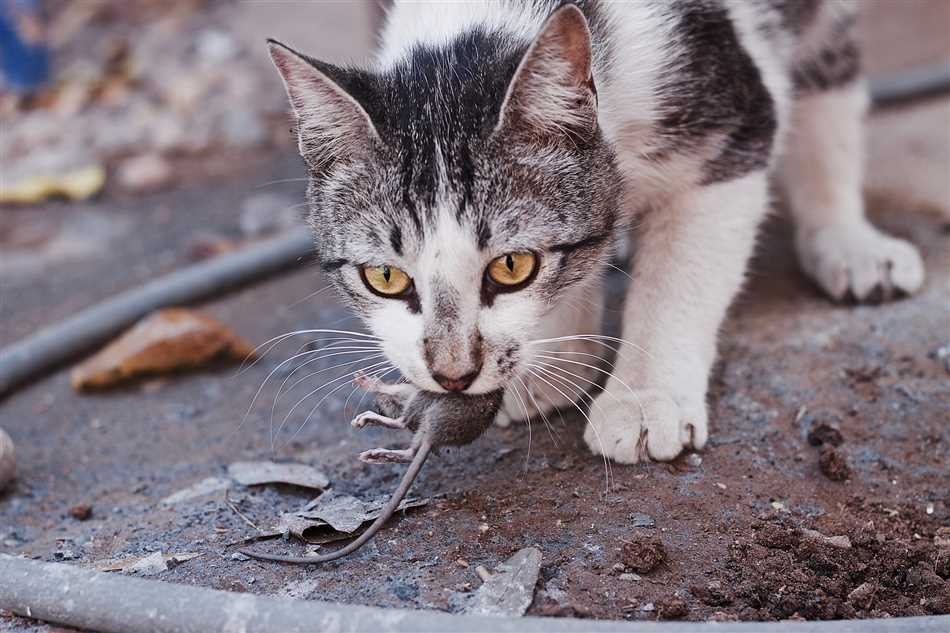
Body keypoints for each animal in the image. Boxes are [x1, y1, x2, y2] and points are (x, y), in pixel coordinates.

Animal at [266, 1, 924, 464]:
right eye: (384, 276)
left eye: (511, 267)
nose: (453, 375)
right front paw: (551, 364)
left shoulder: (730, 121)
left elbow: (678, 276)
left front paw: (643, 400)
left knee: (827, 71)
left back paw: (848, 241)